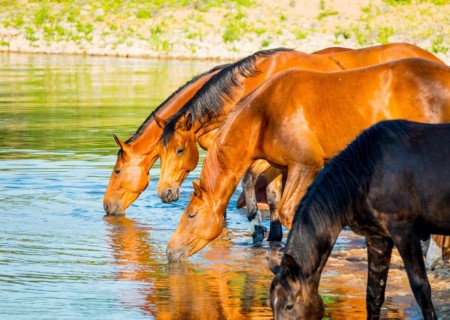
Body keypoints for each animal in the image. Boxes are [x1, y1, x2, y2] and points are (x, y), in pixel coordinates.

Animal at [165, 58, 450, 262]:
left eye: (191, 215)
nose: (169, 252)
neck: (263, 116)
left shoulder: (306, 166)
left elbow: (291, 211)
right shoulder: (281, 166)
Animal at [268, 120, 448, 320]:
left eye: (289, 306)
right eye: (271, 305)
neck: (369, 171)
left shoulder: (405, 234)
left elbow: (421, 290)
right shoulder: (378, 239)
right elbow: (374, 295)